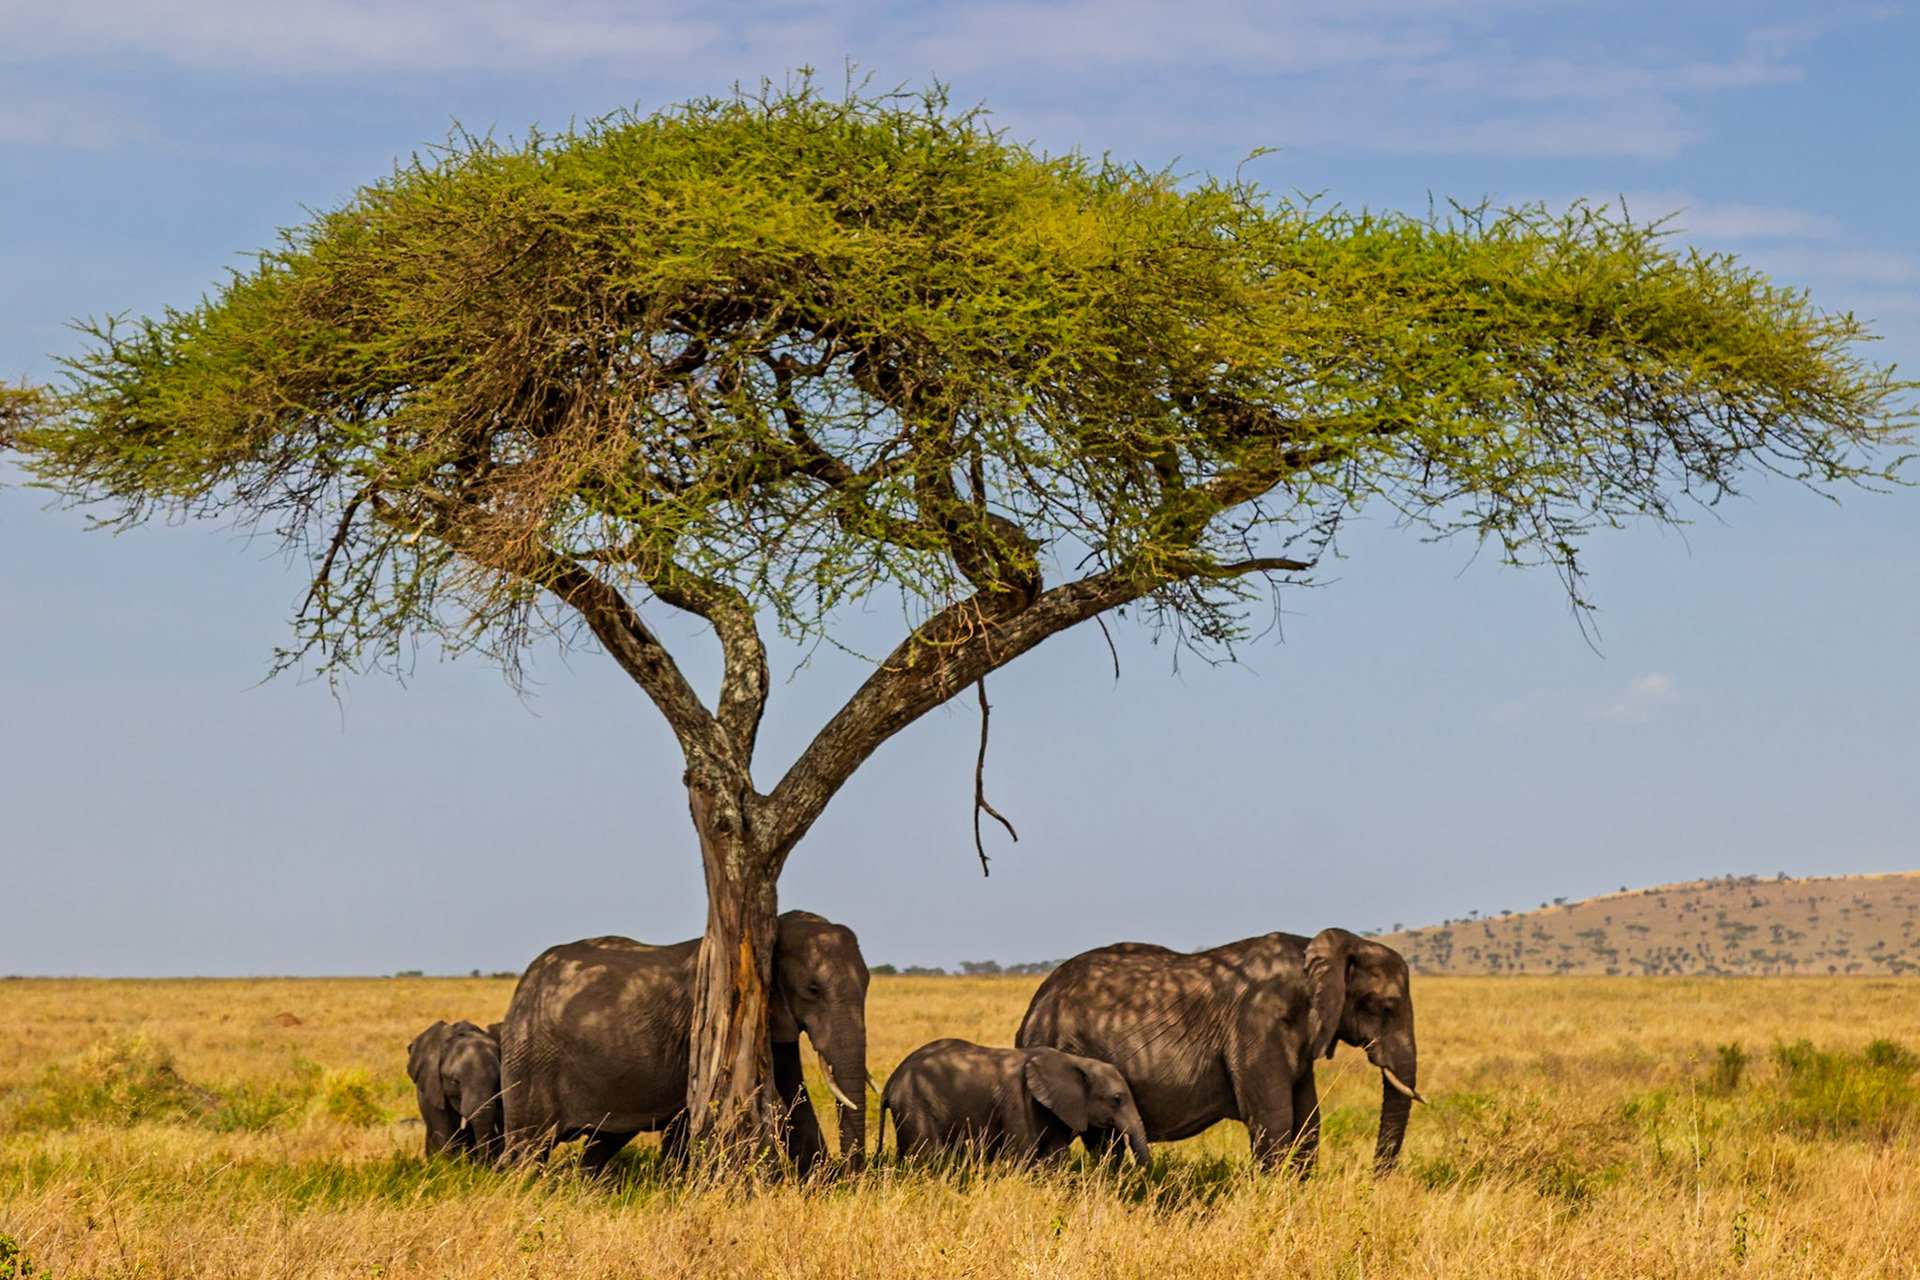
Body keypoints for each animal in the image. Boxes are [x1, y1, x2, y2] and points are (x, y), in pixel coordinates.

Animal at [499, 910, 869, 1176]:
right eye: (812, 990)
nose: (853, 1177)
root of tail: (524, 982)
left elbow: (795, 1095)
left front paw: (823, 1184)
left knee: (600, 1144)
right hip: (530, 1060)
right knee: (528, 1147)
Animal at [881, 1038, 1150, 1166]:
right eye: (1117, 1099)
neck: (1074, 1061)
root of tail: (891, 1082)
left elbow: (1055, 1156)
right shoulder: (1018, 1100)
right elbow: (1023, 1153)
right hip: (915, 1103)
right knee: (928, 1154)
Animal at [1016, 928, 1421, 1174]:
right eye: (1385, 1006)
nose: (1374, 1181)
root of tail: (1034, 1004)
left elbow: (1309, 1122)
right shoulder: (1256, 1026)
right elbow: (1274, 1120)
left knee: (1104, 1143)